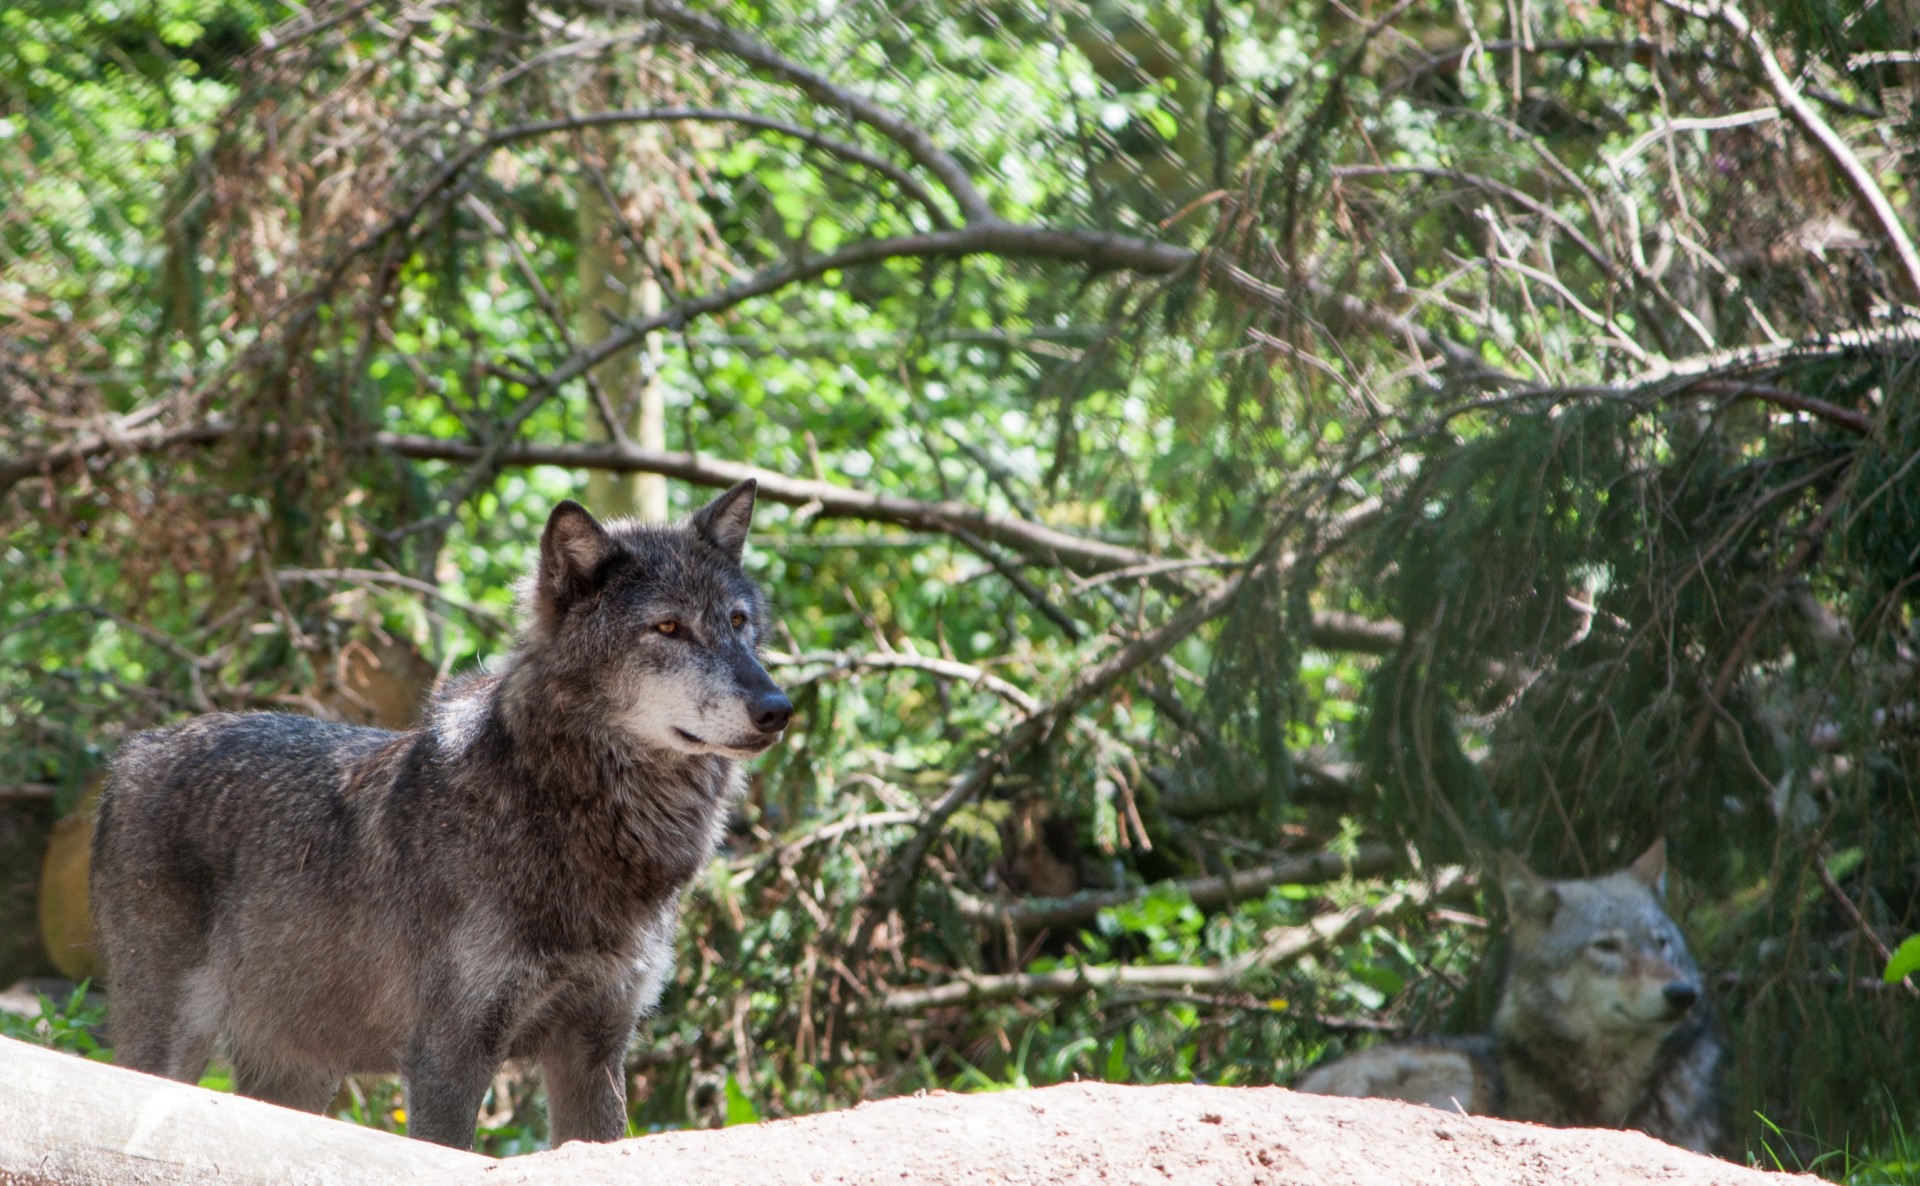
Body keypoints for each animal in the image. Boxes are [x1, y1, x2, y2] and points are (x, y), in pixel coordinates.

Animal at [91, 481, 787, 1143]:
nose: (778, 708)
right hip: (170, 1047)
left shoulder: (594, 1050)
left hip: (297, 1073)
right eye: (667, 628)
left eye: (738, 621)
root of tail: (129, 755)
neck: (561, 808)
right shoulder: (448, 1057)